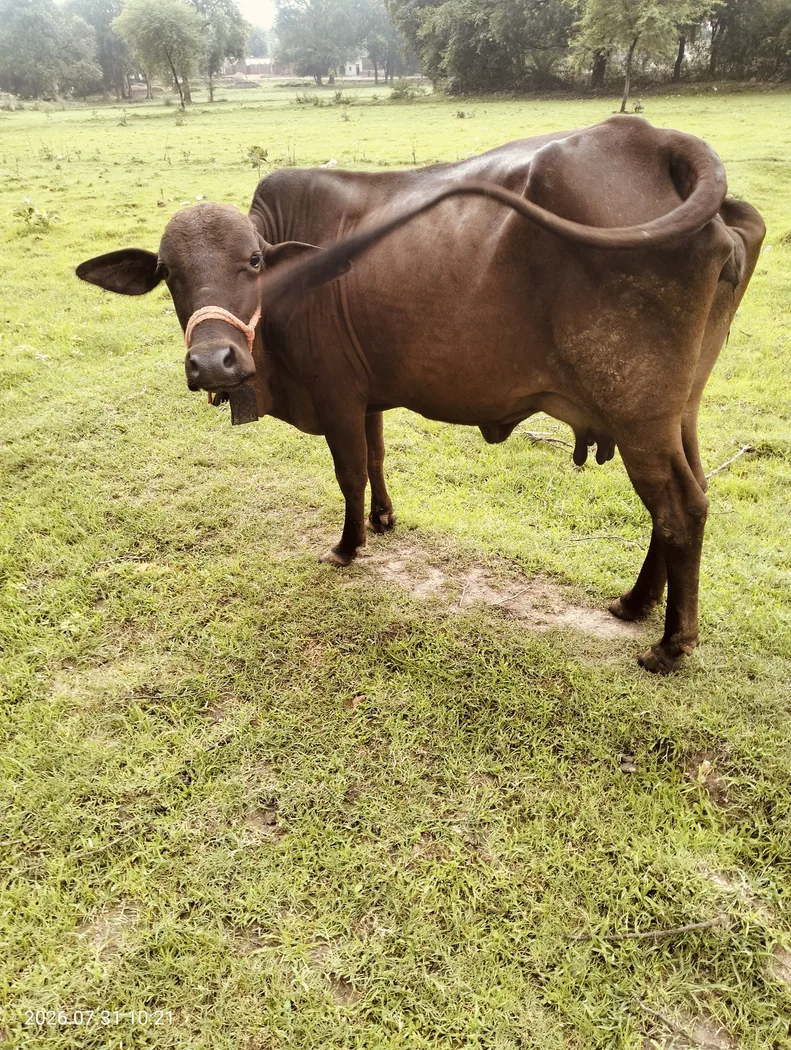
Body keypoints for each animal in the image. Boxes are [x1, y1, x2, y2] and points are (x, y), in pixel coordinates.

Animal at [76, 116, 765, 673]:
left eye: (252, 261)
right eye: (169, 274)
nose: (213, 362)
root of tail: (655, 139)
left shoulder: (335, 395)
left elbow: (350, 472)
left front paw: (349, 545)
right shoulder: (367, 394)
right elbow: (378, 458)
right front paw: (383, 520)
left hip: (638, 416)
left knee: (679, 508)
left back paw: (671, 643)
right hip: (676, 413)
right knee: (687, 497)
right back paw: (636, 603)